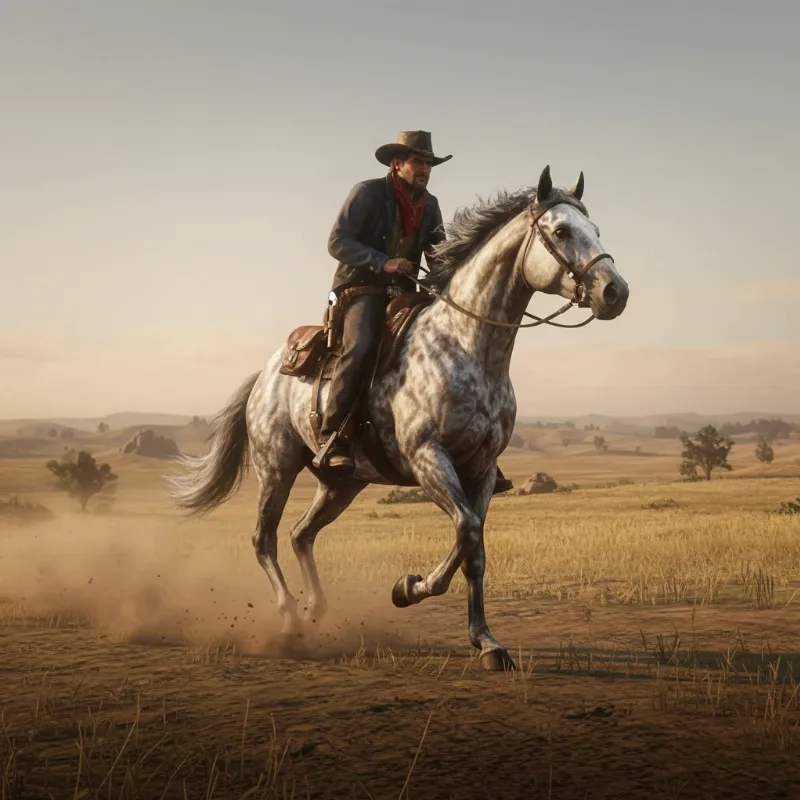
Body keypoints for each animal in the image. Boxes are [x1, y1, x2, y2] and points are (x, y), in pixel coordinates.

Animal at [168, 165, 629, 671]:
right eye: (562, 231)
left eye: (595, 229)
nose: (615, 292)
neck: (467, 346)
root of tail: (266, 375)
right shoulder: (428, 458)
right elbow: (466, 531)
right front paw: (408, 588)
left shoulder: (483, 470)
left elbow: (475, 549)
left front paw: (486, 641)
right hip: (276, 468)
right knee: (263, 539)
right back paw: (289, 620)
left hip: (342, 484)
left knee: (300, 534)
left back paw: (316, 609)